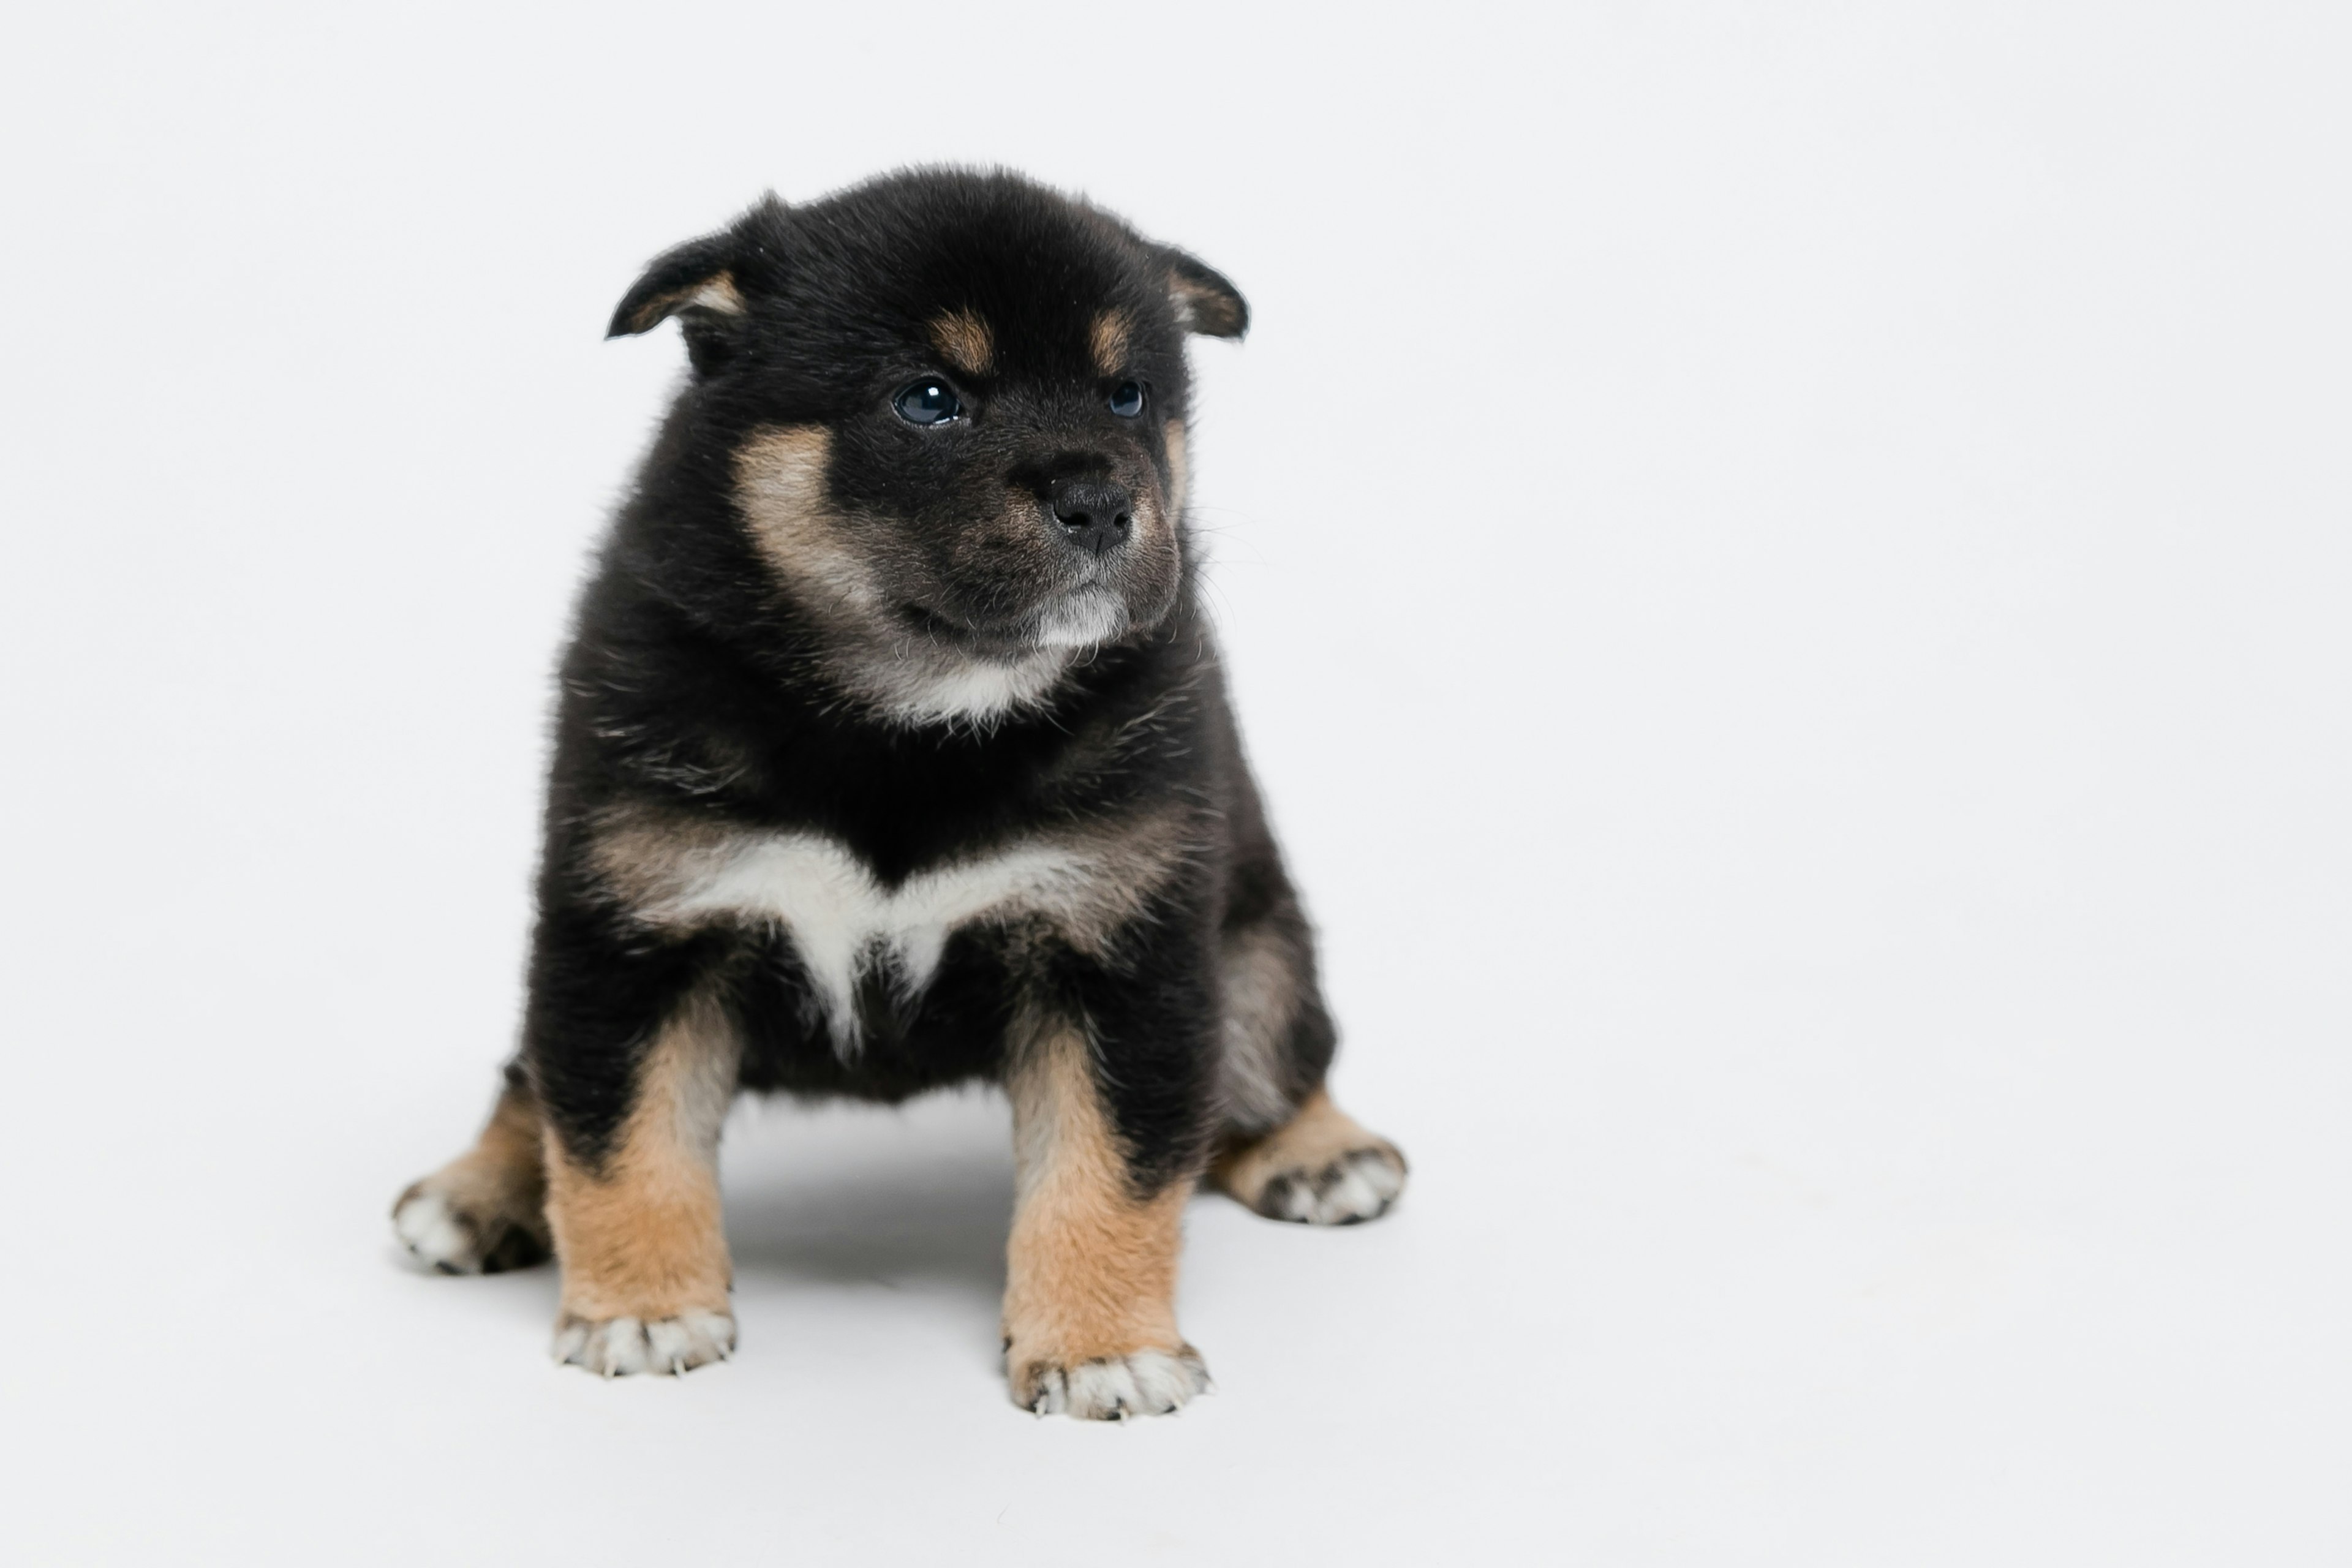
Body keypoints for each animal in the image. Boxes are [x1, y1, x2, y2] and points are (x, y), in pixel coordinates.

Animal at [395, 172, 1401, 1420]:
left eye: (1127, 394)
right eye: (929, 400)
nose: (1102, 502)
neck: (912, 720)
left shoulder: (1123, 951)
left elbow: (1111, 1169)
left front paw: (1099, 1344)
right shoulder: (635, 927)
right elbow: (618, 1136)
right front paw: (639, 1307)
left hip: (1256, 956)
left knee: (1268, 1066)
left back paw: (1322, 1150)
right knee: (534, 1075)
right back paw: (477, 1188)